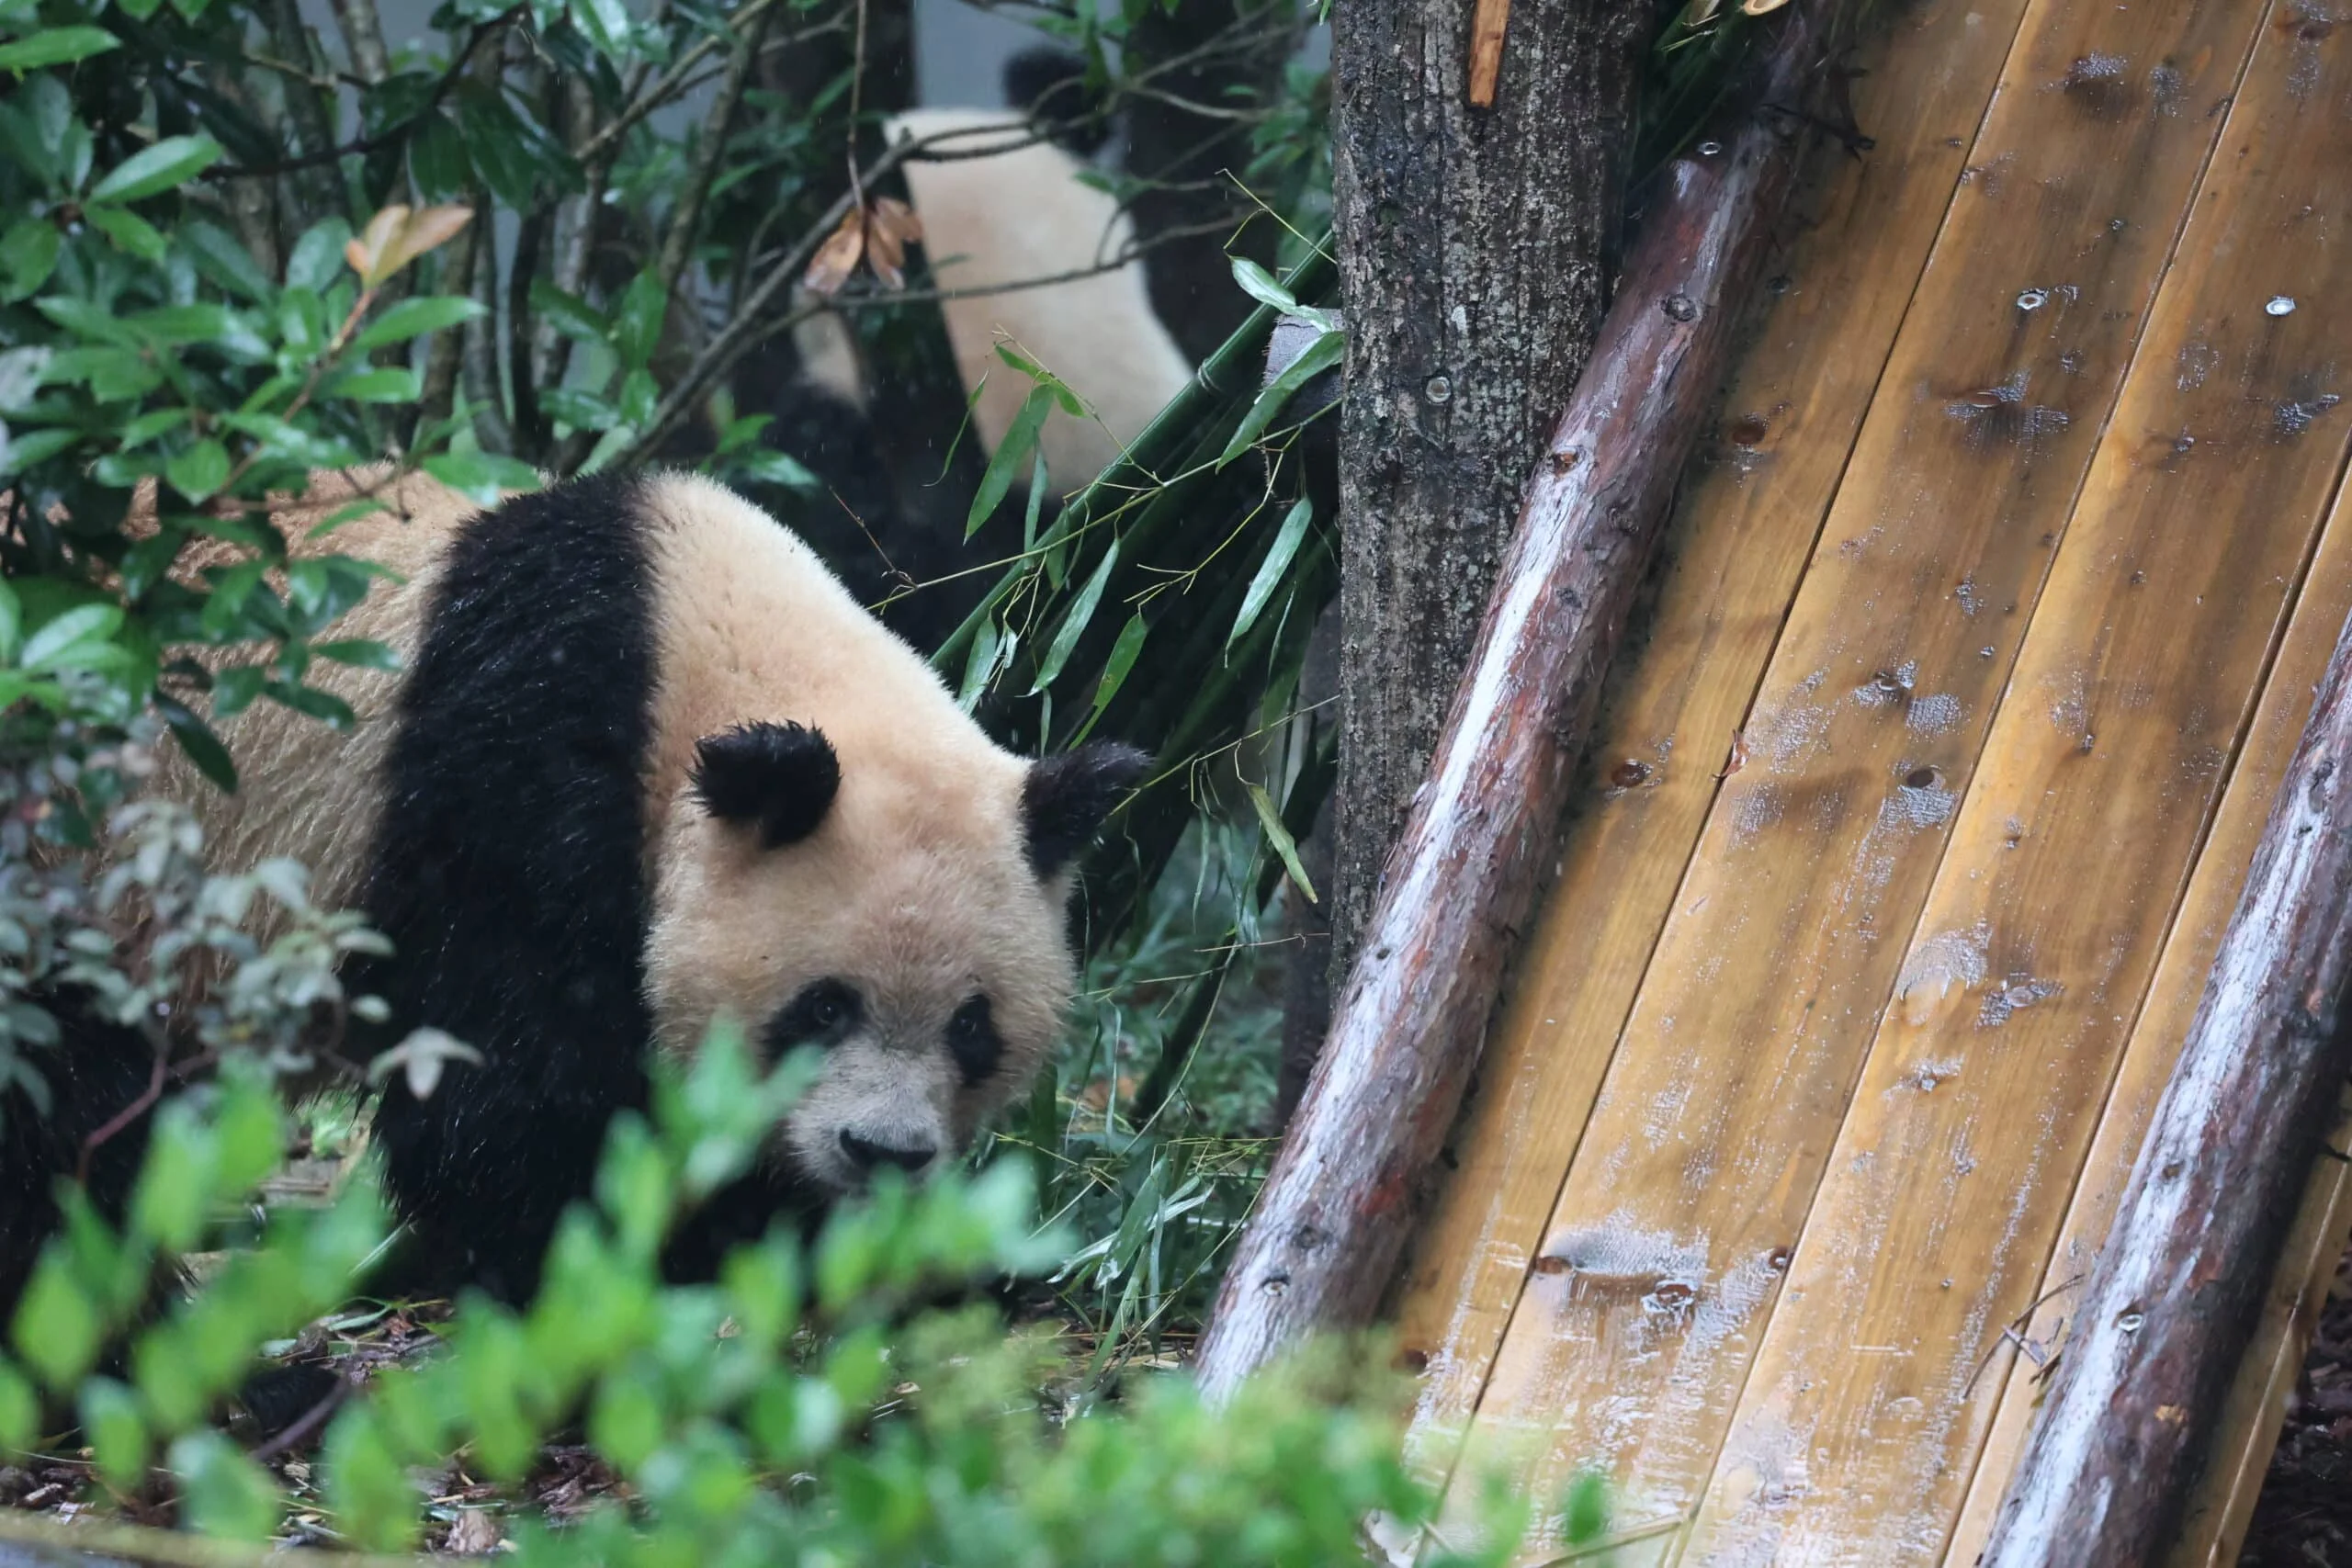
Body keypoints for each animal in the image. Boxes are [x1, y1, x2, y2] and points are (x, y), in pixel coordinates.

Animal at [7, 465, 1148, 1309]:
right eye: (824, 1007)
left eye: (972, 1025)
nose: (883, 1152)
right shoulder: (513, 775)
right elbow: (504, 1098)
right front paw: (664, 1257)